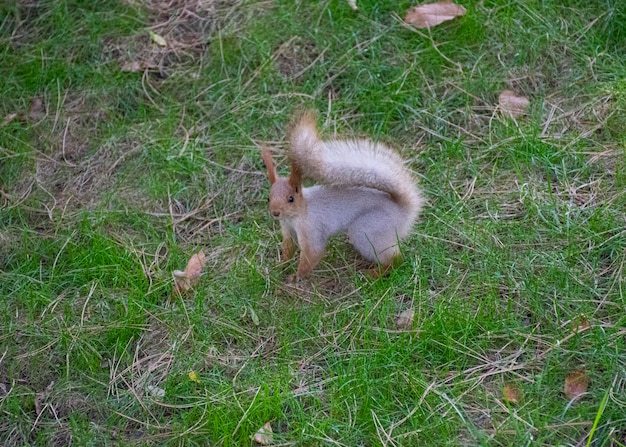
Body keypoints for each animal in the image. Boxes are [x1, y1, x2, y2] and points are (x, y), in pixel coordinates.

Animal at [260, 112, 422, 280]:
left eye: (290, 198)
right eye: (268, 198)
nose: (275, 213)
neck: (298, 213)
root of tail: (403, 211)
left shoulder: (311, 228)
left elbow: (312, 253)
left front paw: (296, 277)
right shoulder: (287, 229)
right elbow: (288, 249)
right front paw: (279, 266)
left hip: (369, 229)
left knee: (396, 259)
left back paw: (374, 274)